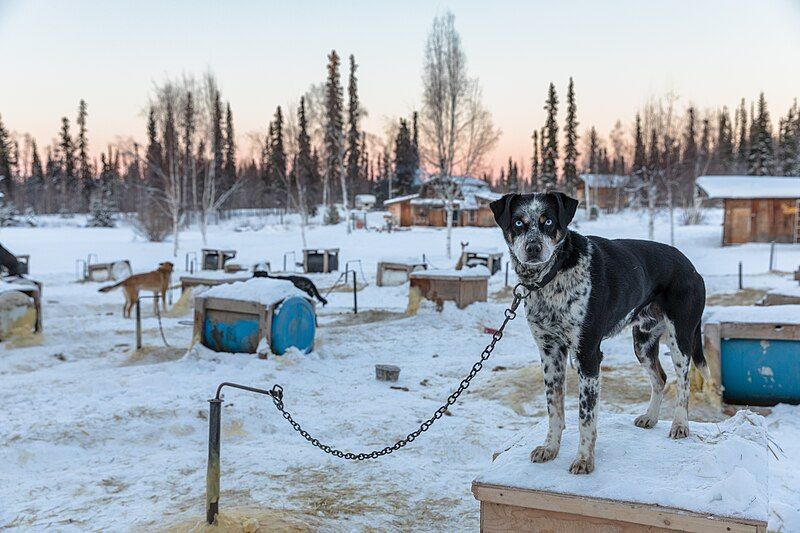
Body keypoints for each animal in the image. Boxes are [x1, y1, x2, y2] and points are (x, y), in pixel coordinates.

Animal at [488, 191, 708, 474]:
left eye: (548, 221)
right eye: (518, 222)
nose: (533, 248)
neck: (553, 276)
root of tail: (691, 267)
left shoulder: (588, 355)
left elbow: (586, 417)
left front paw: (584, 460)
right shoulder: (550, 353)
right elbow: (554, 409)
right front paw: (550, 448)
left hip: (680, 338)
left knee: (683, 382)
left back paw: (680, 424)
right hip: (643, 344)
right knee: (660, 378)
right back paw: (650, 417)